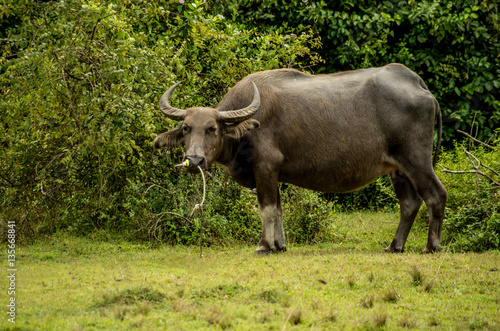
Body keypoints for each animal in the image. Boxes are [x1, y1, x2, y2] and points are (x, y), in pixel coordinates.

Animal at [154, 64, 448, 254]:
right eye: (186, 128)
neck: (246, 128)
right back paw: (394, 246)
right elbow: (278, 209)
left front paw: (264, 245)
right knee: (409, 203)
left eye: (212, 129)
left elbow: (266, 209)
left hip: (417, 160)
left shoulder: (265, 167)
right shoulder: (273, 173)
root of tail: (419, 86)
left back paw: (431, 246)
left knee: (436, 195)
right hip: (398, 169)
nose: (194, 160)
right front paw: (280, 245)